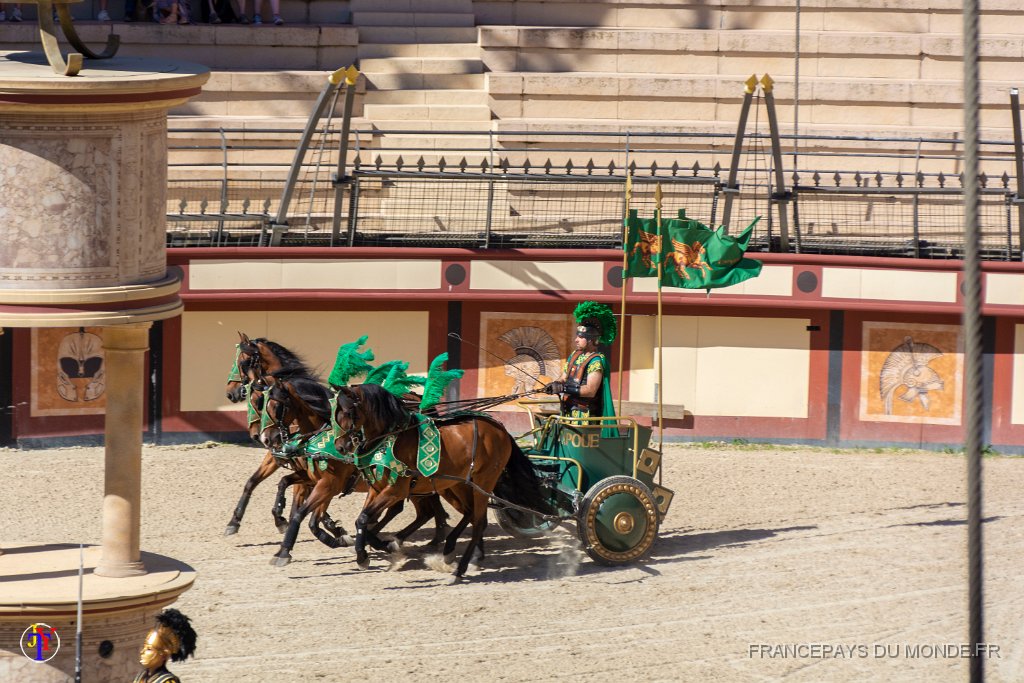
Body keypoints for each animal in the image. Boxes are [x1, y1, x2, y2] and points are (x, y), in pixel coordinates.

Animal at [260, 374, 448, 565]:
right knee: (420, 511)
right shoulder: (313, 479)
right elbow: (286, 485)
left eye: (275, 406)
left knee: (421, 511)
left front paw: (287, 550)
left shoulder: (329, 485)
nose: (265, 439)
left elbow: (307, 517)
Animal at [333, 385, 552, 581]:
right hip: (458, 484)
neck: (393, 439)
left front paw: (368, 554)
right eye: (335, 414)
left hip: (484, 482)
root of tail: (500, 429)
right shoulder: (376, 488)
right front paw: (378, 548)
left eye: (348, 412)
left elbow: (365, 519)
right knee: (470, 514)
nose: (340, 446)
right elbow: (363, 520)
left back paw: (459, 569)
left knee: (479, 522)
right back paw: (453, 550)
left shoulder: (396, 490)